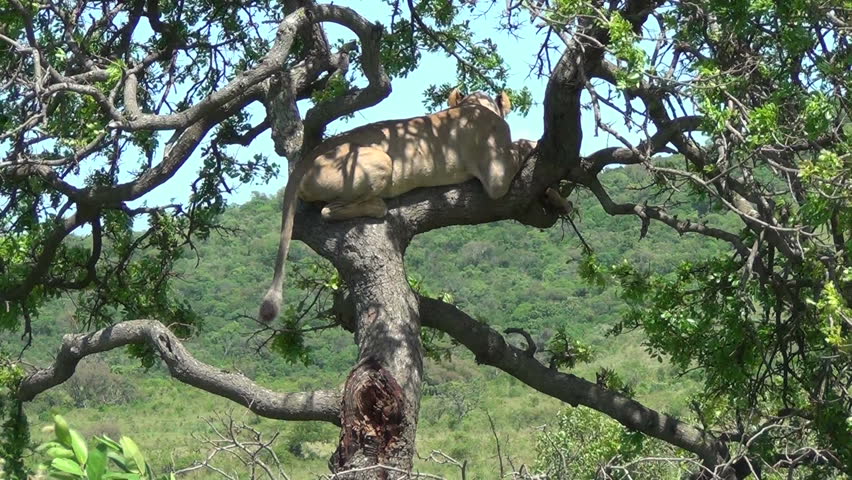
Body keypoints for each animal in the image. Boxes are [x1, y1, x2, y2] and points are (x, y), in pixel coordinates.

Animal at [259, 89, 523, 323]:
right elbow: (520, 148)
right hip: (381, 160)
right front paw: (527, 144)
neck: (472, 105)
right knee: (328, 210)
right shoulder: (496, 176)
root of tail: (308, 158)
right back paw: (378, 206)